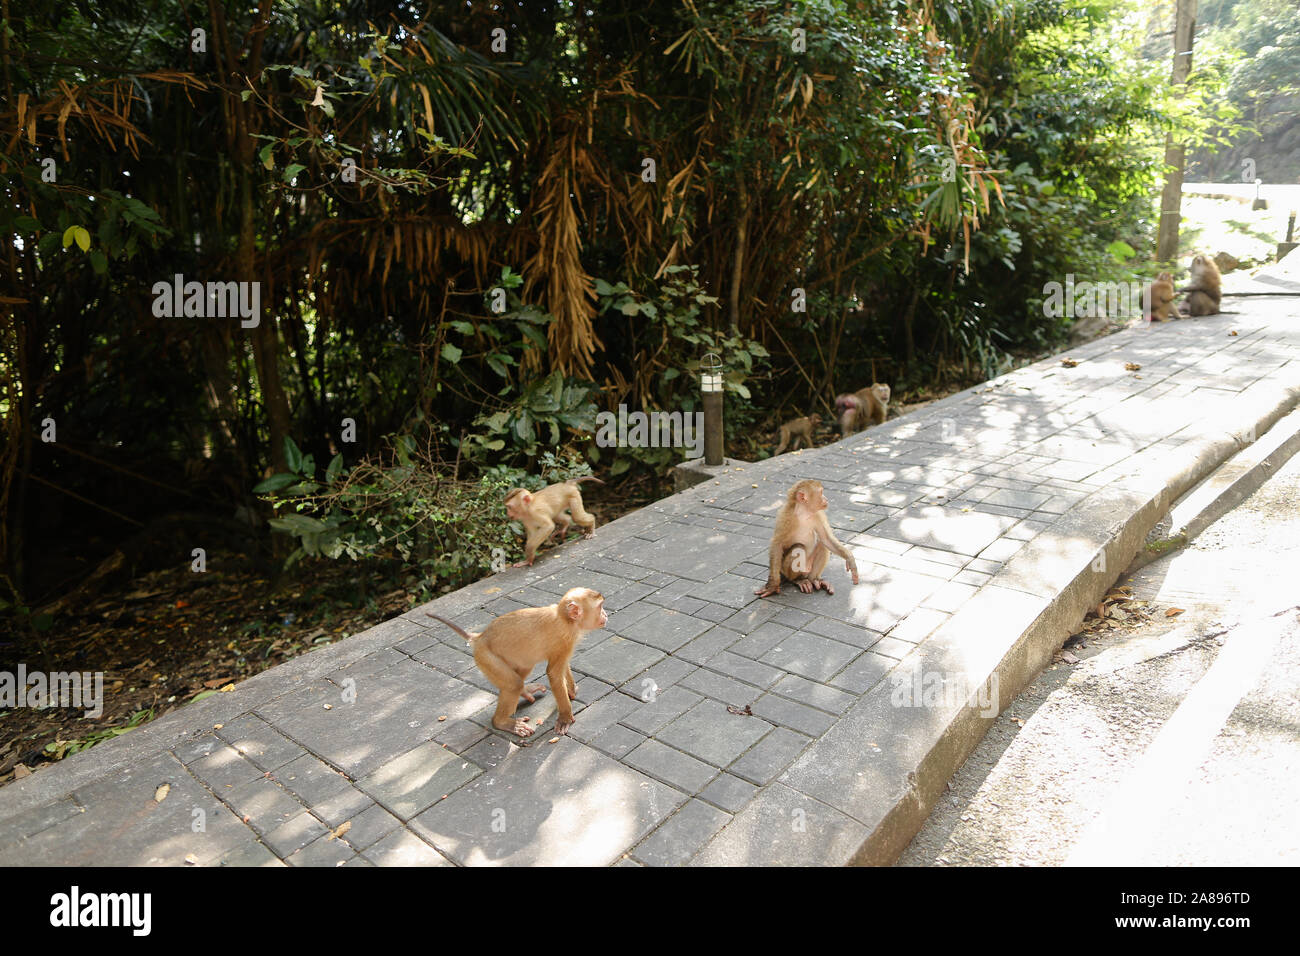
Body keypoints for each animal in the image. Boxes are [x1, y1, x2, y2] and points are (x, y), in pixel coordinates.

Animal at [426, 587, 608, 738]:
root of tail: (479, 638)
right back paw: (502, 722)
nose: (605, 614)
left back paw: (525, 692)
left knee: (522, 670)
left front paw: (571, 690)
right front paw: (565, 717)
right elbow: (554, 673)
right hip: (486, 657)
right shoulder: (565, 639)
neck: (565, 619)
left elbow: (562, 667)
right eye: (600, 607)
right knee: (513, 684)